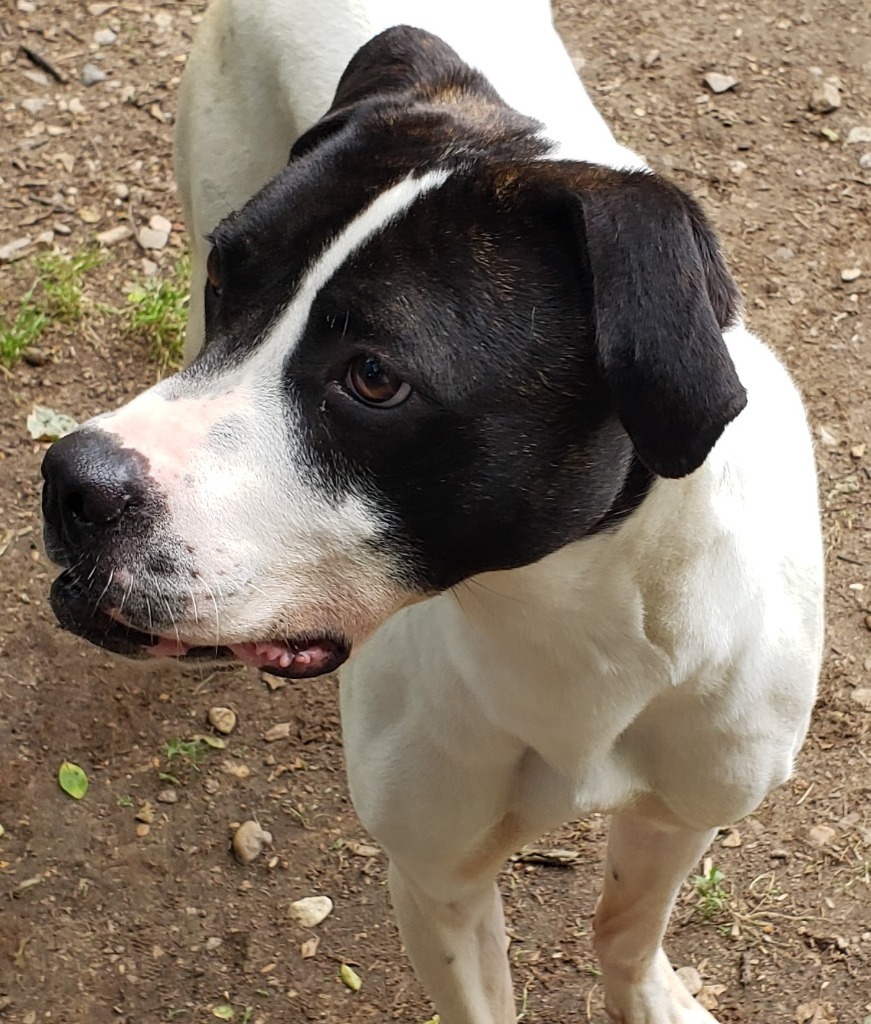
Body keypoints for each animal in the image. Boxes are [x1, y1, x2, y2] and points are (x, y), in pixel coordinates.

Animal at [42, 4, 822, 1019]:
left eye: (375, 376)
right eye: (227, 280)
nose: (70, 481)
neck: (571, 633)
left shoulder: (683, 807)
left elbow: (624, 928)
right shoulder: (436, 878)